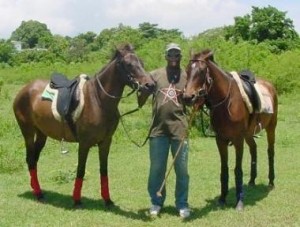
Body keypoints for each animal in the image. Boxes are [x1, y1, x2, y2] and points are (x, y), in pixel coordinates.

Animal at [13, 43, 155, 207]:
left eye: (141, 63)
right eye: (128, 64)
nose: (150, 85)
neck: (99, 100)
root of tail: (24, 90)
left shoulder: (106, 142)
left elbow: (104, 170)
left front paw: (107, 199)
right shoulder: (84, 143)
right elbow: (81, 170)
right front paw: (76, 200)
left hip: (42, 134)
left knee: (33, 160)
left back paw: (37, 190)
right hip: (28, 132)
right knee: (31, 159)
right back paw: (38, 193)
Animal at [183, 49, 278, 211]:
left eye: (201, 72)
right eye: (187, 70)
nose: (188, 97)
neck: (226, 102)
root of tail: (270, 85)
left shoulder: (238, 140)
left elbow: (237, 169)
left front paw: (239, 202)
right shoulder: (220, 140)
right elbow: (224, 168)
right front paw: (222, 198)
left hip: (271, 128)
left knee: (270, 152)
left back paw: (271, 182)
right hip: (248, 134)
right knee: (254, 149)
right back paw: (252, 180)